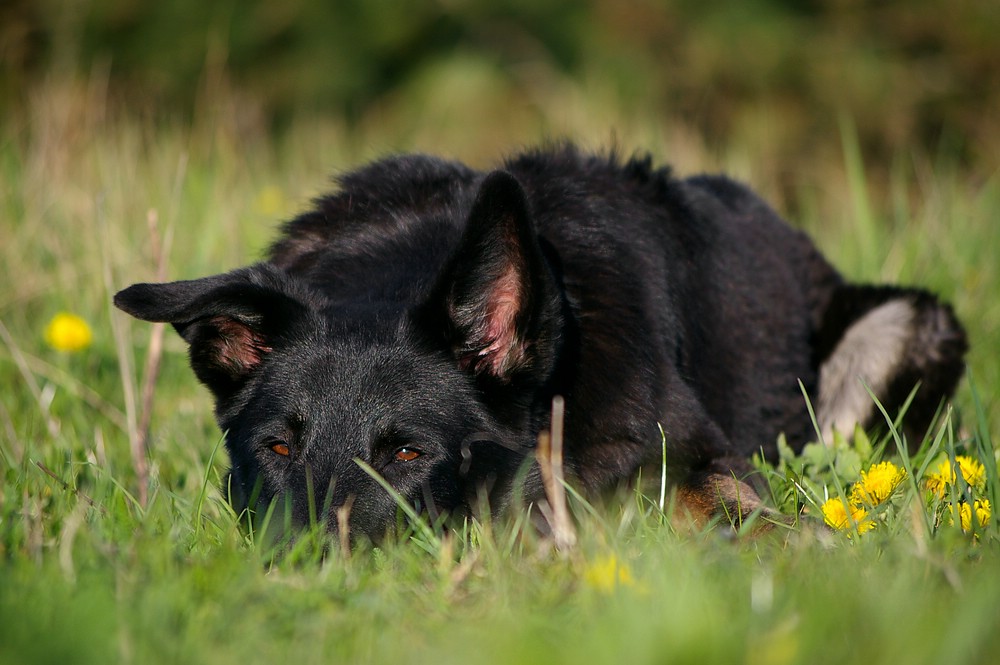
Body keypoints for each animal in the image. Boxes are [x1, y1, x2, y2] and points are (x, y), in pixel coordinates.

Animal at [113, 145, 964, 540]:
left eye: (409, 453)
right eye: (278, 449)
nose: (306, 571)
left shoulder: (695, 454)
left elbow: (737, 503)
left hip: (912, 327)